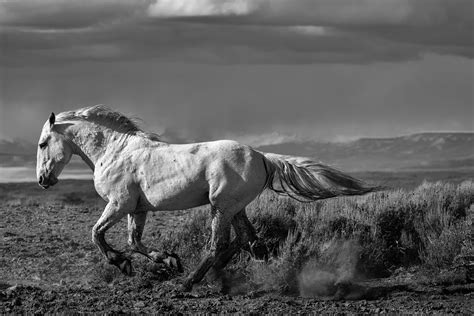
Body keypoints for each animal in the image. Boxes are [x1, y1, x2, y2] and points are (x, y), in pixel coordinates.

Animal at [36, 104, 378, 292]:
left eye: (42, 144)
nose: (42, 180)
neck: (115, 151)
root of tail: (262, 157)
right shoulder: (137, 208)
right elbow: (135, 242)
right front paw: (168, 260)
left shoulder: (118, 204)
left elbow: (97, 234)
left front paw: (123, 264)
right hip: (235, 208)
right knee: (248, 241)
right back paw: (237, 276)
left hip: (221, 207)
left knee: (219, 244)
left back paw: (189, 283)